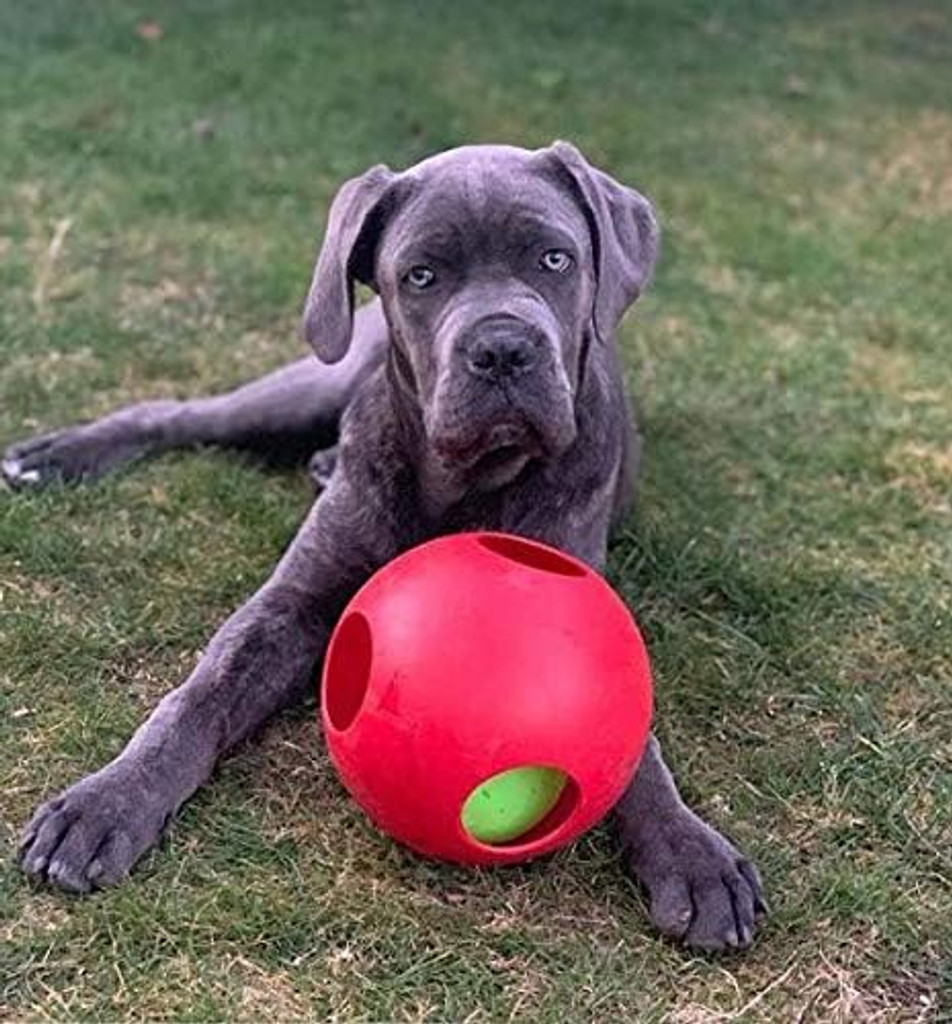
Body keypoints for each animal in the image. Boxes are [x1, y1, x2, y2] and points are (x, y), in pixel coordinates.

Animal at [7, 140, 761, 946]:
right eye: (422, 275)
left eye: (555, 259)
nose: (503, 348)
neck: (465, 477)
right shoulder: (289, 605)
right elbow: (197, 697)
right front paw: (108, 800)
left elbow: (633, 739)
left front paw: (689, 851)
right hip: (309, 381)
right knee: (181, 414)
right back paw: (61, 454)